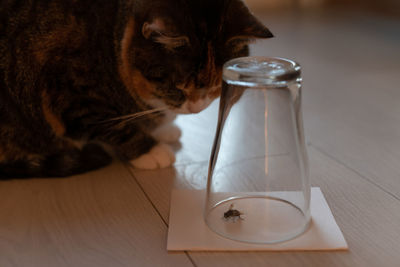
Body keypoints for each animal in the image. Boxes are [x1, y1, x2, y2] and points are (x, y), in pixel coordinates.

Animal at [0, 0, 272, 180]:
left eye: (216, 87)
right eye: (177, 88)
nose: (196, 108)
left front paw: (164, 130)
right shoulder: (71, 92)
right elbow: (113, 124)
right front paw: (151, 151)